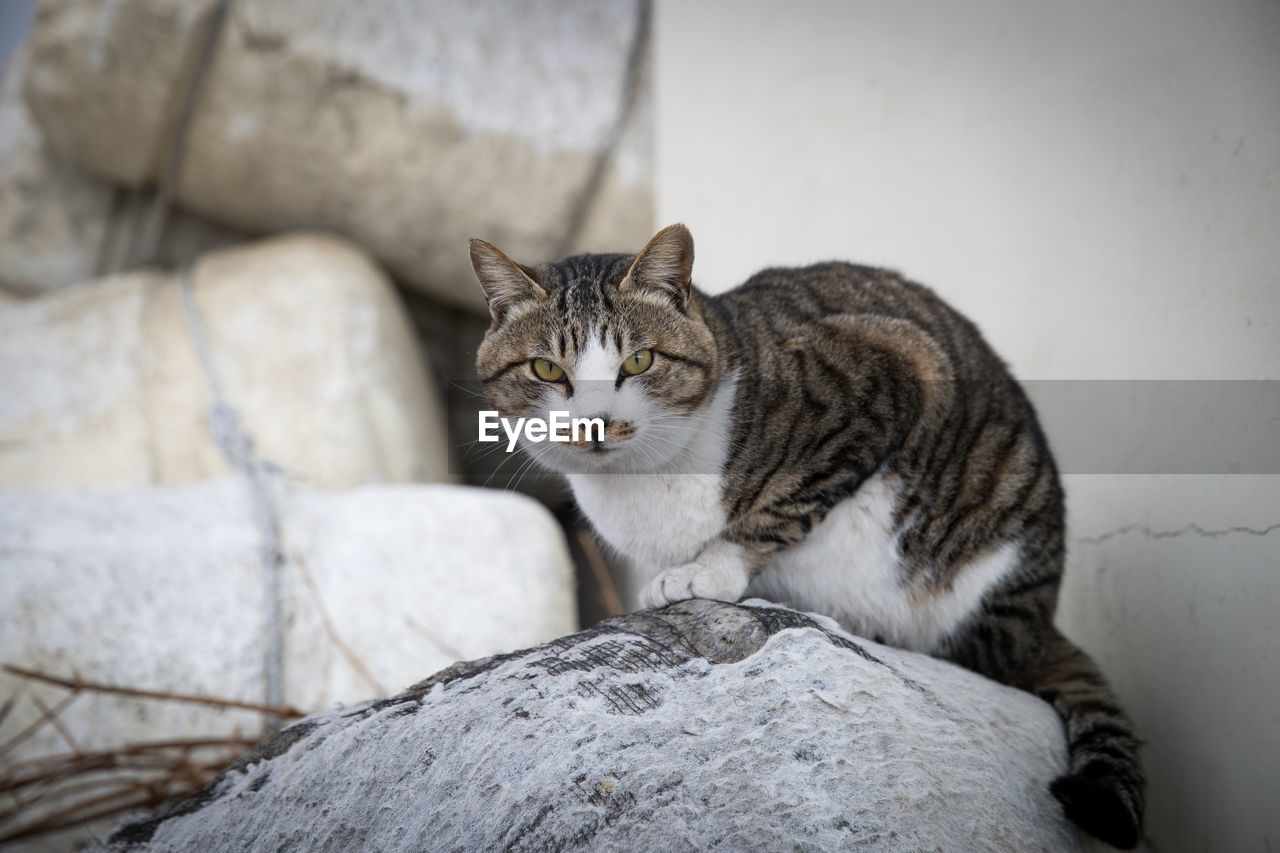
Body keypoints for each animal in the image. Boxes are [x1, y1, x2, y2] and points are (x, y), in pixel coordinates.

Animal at [473, 220, 1152, 845]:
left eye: (638, 361)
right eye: (546, 368)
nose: (593, 424)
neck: (641, 480)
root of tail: (1041, 622)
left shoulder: (879, 379)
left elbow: (781, 506)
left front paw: (706, 570)